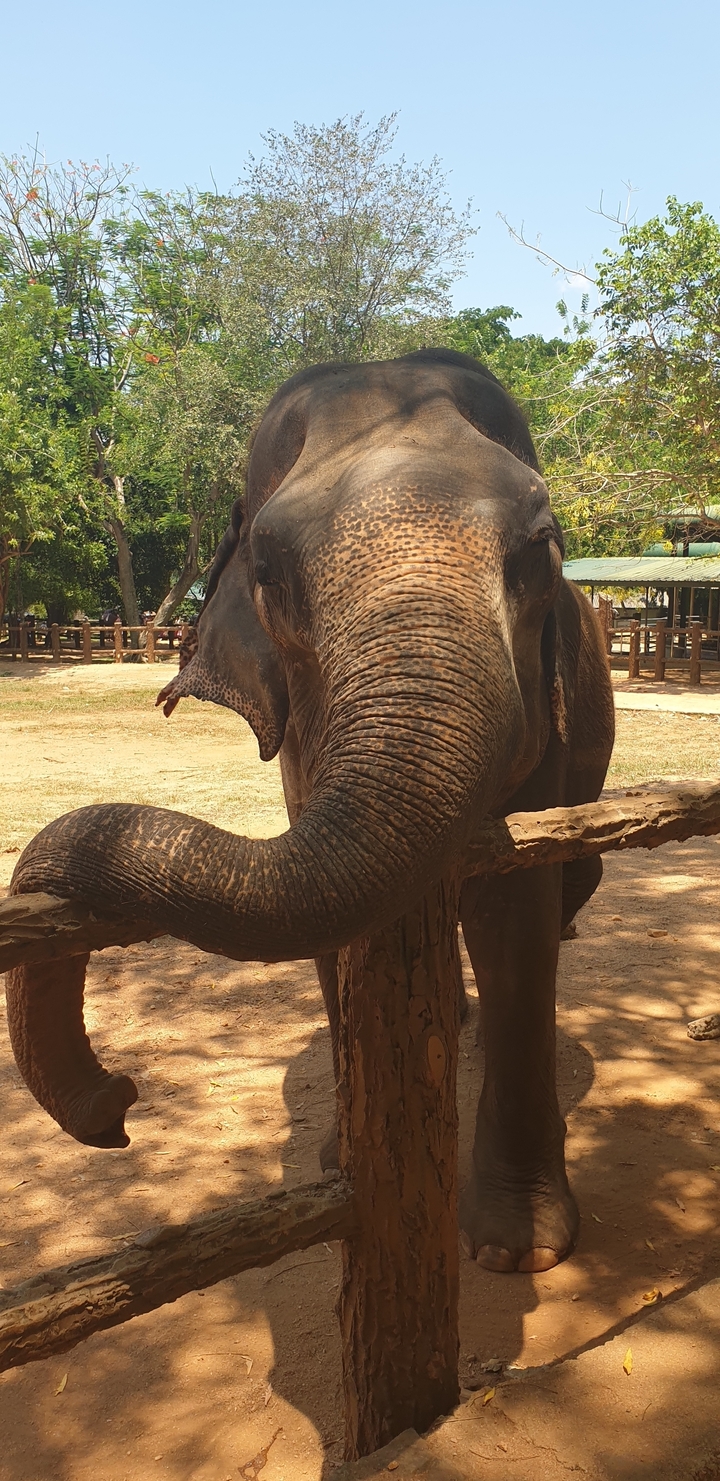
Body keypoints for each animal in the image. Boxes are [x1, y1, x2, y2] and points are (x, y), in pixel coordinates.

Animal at [6, 348, 614, 1274]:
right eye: (267, 575)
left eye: (542, 550)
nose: (117, 1105)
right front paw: (341, 1164)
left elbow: (513, 914)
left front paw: (516, 1252)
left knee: (572, 880)